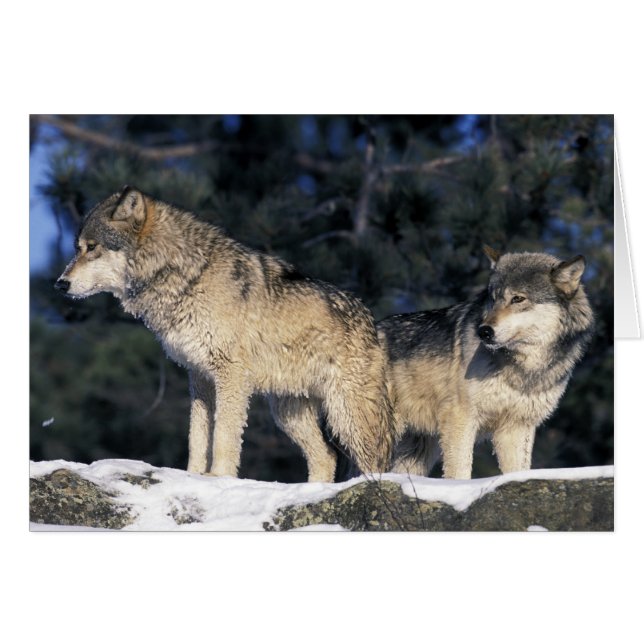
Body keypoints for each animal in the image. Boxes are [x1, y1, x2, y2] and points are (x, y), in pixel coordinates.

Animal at [55, 186, 393, 481]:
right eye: (77, 248)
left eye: (91, 247)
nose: (60, 283)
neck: (188, 276)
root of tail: (373, 324)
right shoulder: (199, 376)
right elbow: (198, 435)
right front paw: (193, 475)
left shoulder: (231, 374)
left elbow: (224, 435)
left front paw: (219, 477)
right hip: (289, 413)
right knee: (327, 457)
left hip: (346, 415)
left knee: (376, 462)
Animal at [377, 246, 594, 479]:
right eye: (493, 298)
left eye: (518, 299)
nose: (484, 332)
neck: (524, 367)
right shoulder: (460, 417)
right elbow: (460, 471)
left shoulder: (517, 426)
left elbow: (517, 471)